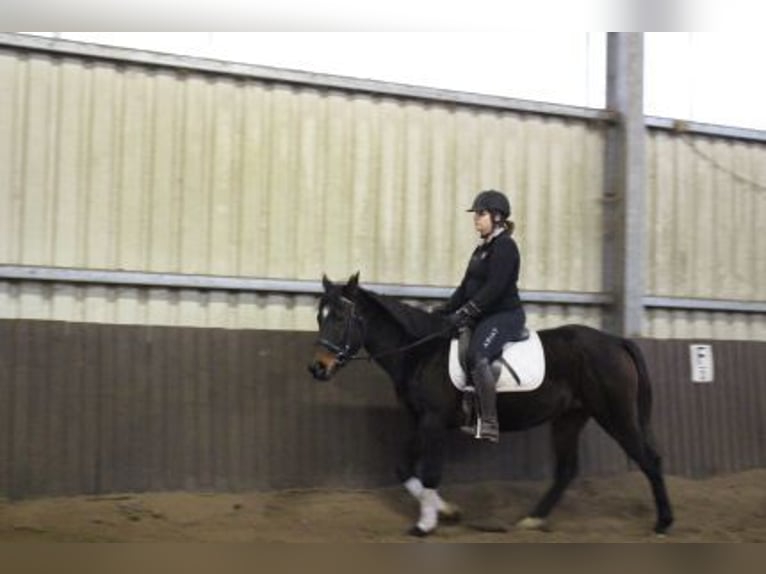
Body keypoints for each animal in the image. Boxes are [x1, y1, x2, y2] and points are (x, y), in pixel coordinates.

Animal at [308, 274, 676, 540]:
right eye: (319, 317)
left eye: (339, 317)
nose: (317, 368)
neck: (422, 352)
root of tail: (615, 341)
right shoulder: (419, 420)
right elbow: (404, 469)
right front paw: (447, 512)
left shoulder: (434, 421)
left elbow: (430, 473)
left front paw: (425, 525)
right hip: (570, 418)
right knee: (567, 469)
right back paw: (531, 520)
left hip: (615, 414)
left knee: (649, 460)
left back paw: (663, 524)